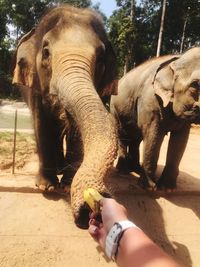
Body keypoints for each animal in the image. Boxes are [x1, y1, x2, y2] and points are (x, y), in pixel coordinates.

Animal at [12, 4, 119, 228]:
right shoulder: (35, 88)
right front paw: (47, 187)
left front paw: (67, 184)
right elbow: (42, 124)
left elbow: (75, 134)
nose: (90, 208)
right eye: (45, 52)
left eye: (101, 58)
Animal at [111, 46, 200, 193]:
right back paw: (123, 171)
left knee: (135, 138)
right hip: (114, 109)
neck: (177, 60)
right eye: (195, 84)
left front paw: (168, 189)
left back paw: (136, 169)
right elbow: (153, 133)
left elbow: (180, 139)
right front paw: (149, 188)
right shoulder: (150, 99)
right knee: (122, 135)